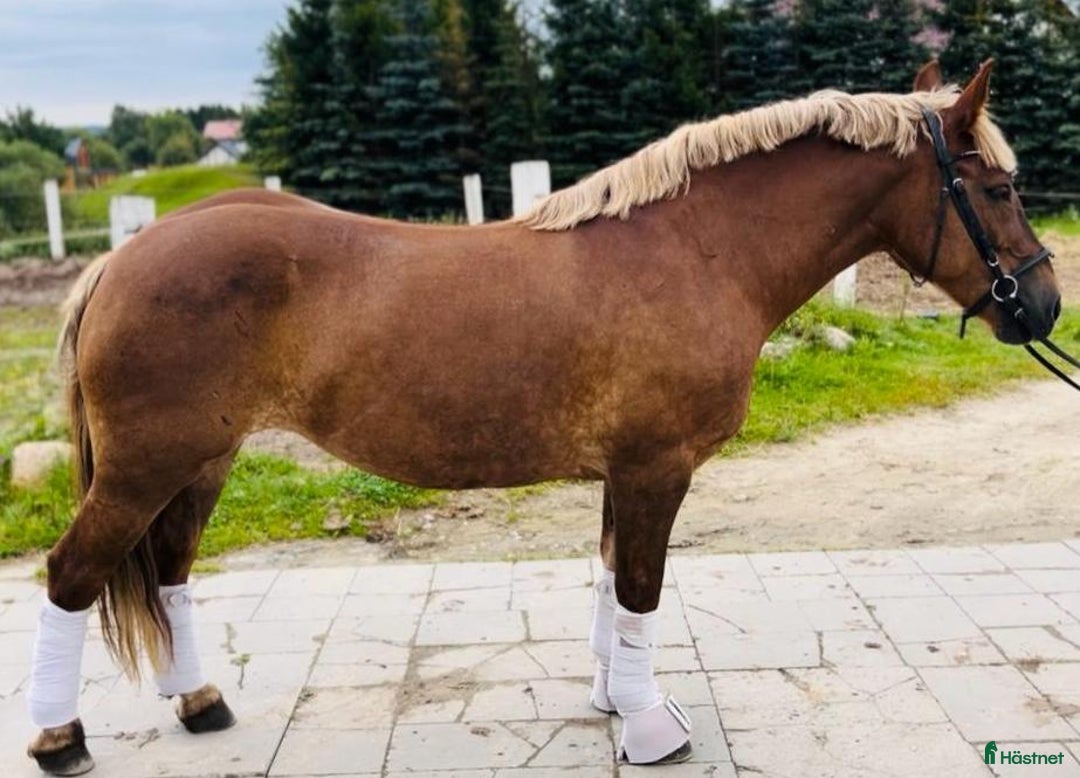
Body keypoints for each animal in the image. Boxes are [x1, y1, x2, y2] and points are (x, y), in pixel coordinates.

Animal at [26, 59, 1060, 774]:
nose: (1044, 307)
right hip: (144, 470)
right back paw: (59, 737)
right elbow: (640, 592)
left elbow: (608, 587)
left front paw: (612, 703)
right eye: (1001, 188)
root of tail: (120, 259)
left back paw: (199, 703)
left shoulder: (624, 473)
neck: (696, 250)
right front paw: (650, 728)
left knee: (168, 573)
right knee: (71, 576)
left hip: (200, 465)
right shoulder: (655, 469)